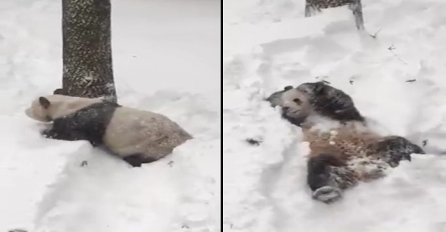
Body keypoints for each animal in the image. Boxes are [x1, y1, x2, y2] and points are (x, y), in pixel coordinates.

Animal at [24, 94, 192, 167]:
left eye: (32, 106)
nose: (25, 111)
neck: (67, 103)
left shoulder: (84, 120)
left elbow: (74, 135)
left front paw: (46, 132)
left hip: (154, 144)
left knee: (139, 157)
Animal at [264, 81, 426, 203]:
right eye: (284, 103)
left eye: (296, 100)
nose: (286, 108)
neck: (312, 114)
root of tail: (364, 170)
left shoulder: (343, 114)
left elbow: (341, 101)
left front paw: (313, 87)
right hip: (328, 155)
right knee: (319, 170)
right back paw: (327, 192)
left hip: (378, 145)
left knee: (402, 144)